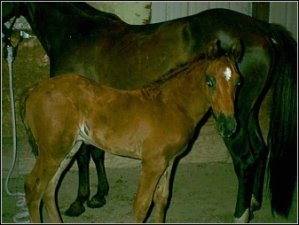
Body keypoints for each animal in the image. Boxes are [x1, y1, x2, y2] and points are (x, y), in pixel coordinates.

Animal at [2, 2, 298, 222]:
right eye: (209, 82)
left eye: (237, 82)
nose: (226, 125)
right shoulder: (153, 162)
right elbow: (141, 202)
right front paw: (91, 197)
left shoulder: (166, 162)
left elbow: (158, 200)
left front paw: (87, 198)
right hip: (57, 148)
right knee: (38, 188)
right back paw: (251, 205)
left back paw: (244, 211)